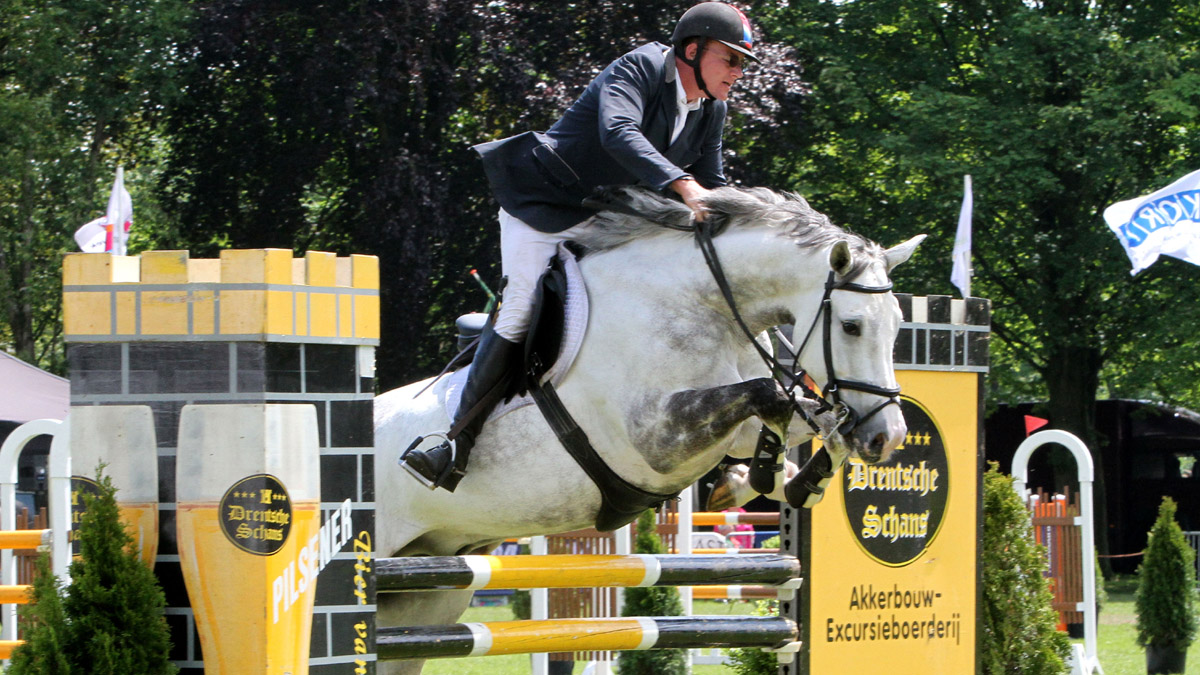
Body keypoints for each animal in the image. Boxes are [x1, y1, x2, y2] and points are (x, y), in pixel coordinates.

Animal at [374, 184, 926, 672]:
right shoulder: (656, 437)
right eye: (851, 326)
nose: (889, 438)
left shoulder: (731, 426)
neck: (705, 304)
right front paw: (770, 474)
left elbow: (803, 419)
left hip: (433, 587)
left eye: (900, 324)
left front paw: (776, 481)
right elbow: (769, 396)